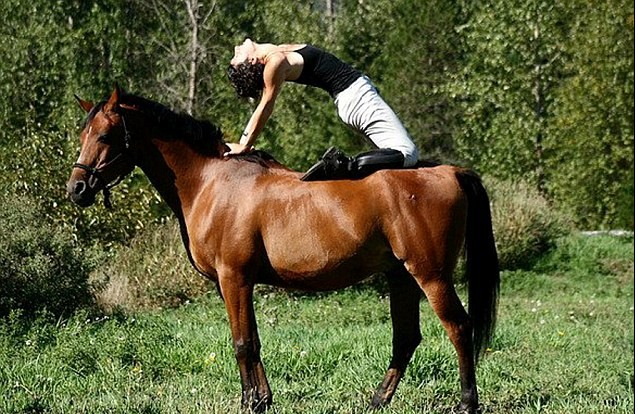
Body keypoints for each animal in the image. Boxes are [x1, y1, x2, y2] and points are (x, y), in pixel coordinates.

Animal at [67, 85, 502, 412]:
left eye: (105, 136)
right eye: (82, 136)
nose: (77, 189)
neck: (211, 181)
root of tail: (448, 171)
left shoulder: (234, 278)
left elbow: (243, 343)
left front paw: (250, 402)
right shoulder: (236, 283)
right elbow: (253, 340)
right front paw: (261, 399)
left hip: (431, 275)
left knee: (459, 328)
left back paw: (467, 403)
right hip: (401, 276)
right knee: (406, 337)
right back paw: (378, 400)